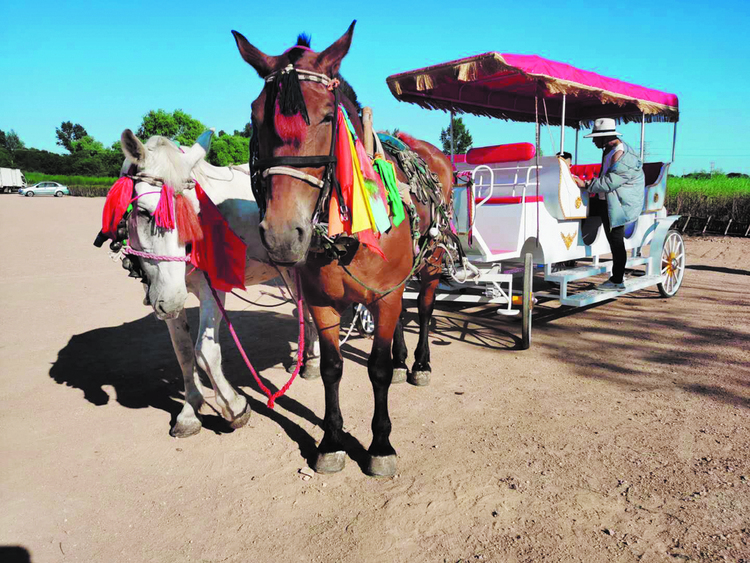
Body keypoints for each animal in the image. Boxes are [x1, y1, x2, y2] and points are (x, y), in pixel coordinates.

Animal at [113, 130, 318, 438]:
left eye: (196, 213)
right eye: (145, 212)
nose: (172, 300)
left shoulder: (212, 289)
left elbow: (205, 352)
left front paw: (234, 407)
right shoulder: (163, 290)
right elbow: (184, 351)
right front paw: (190, 410)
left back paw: (313, 360)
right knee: (304, 310)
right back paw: (304, 358)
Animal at [235, 22, 456, 478]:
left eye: (324, 116)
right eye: (255, 117)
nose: (282, 234)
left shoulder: (385, 295)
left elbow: (377, 370)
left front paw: (380, 445)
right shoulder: (323, 301)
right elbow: (332, 369)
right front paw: (332, 440)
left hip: (431, 263)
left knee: (425, 309)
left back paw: (419, 363)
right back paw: (403, 357)